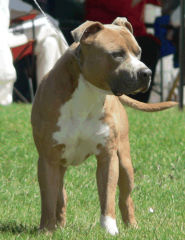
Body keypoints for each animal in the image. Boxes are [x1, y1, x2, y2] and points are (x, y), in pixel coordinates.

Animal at [31, 17, 178, 235]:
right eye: (117, 54)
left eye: (138, 52)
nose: (146, 72)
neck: (88, 94)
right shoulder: (48, 159)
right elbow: (48, 199)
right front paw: (47, 230)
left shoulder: (108, 157)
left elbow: (108, 196)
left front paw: (109, 229)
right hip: (60, 164)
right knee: (60, 195)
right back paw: (59, 225)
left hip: (125, 163)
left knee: (126, 198)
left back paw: (132, 225)